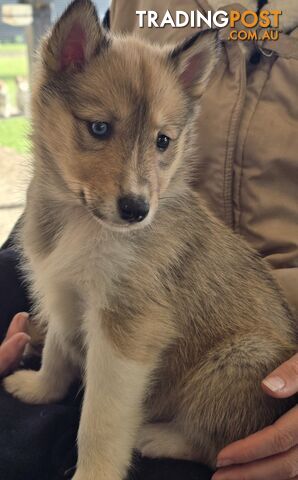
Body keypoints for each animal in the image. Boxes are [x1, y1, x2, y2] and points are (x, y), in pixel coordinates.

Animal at [4, 1, 296, 478]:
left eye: (163, 141)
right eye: (99, 128)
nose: (137, 210)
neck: (79, 221)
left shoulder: (126, 330)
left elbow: (99, 421)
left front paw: (94, 474)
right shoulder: (61, 293)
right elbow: (56, 351)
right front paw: (39, 388)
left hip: (239, 362)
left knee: (218, 445)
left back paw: (155, 437)